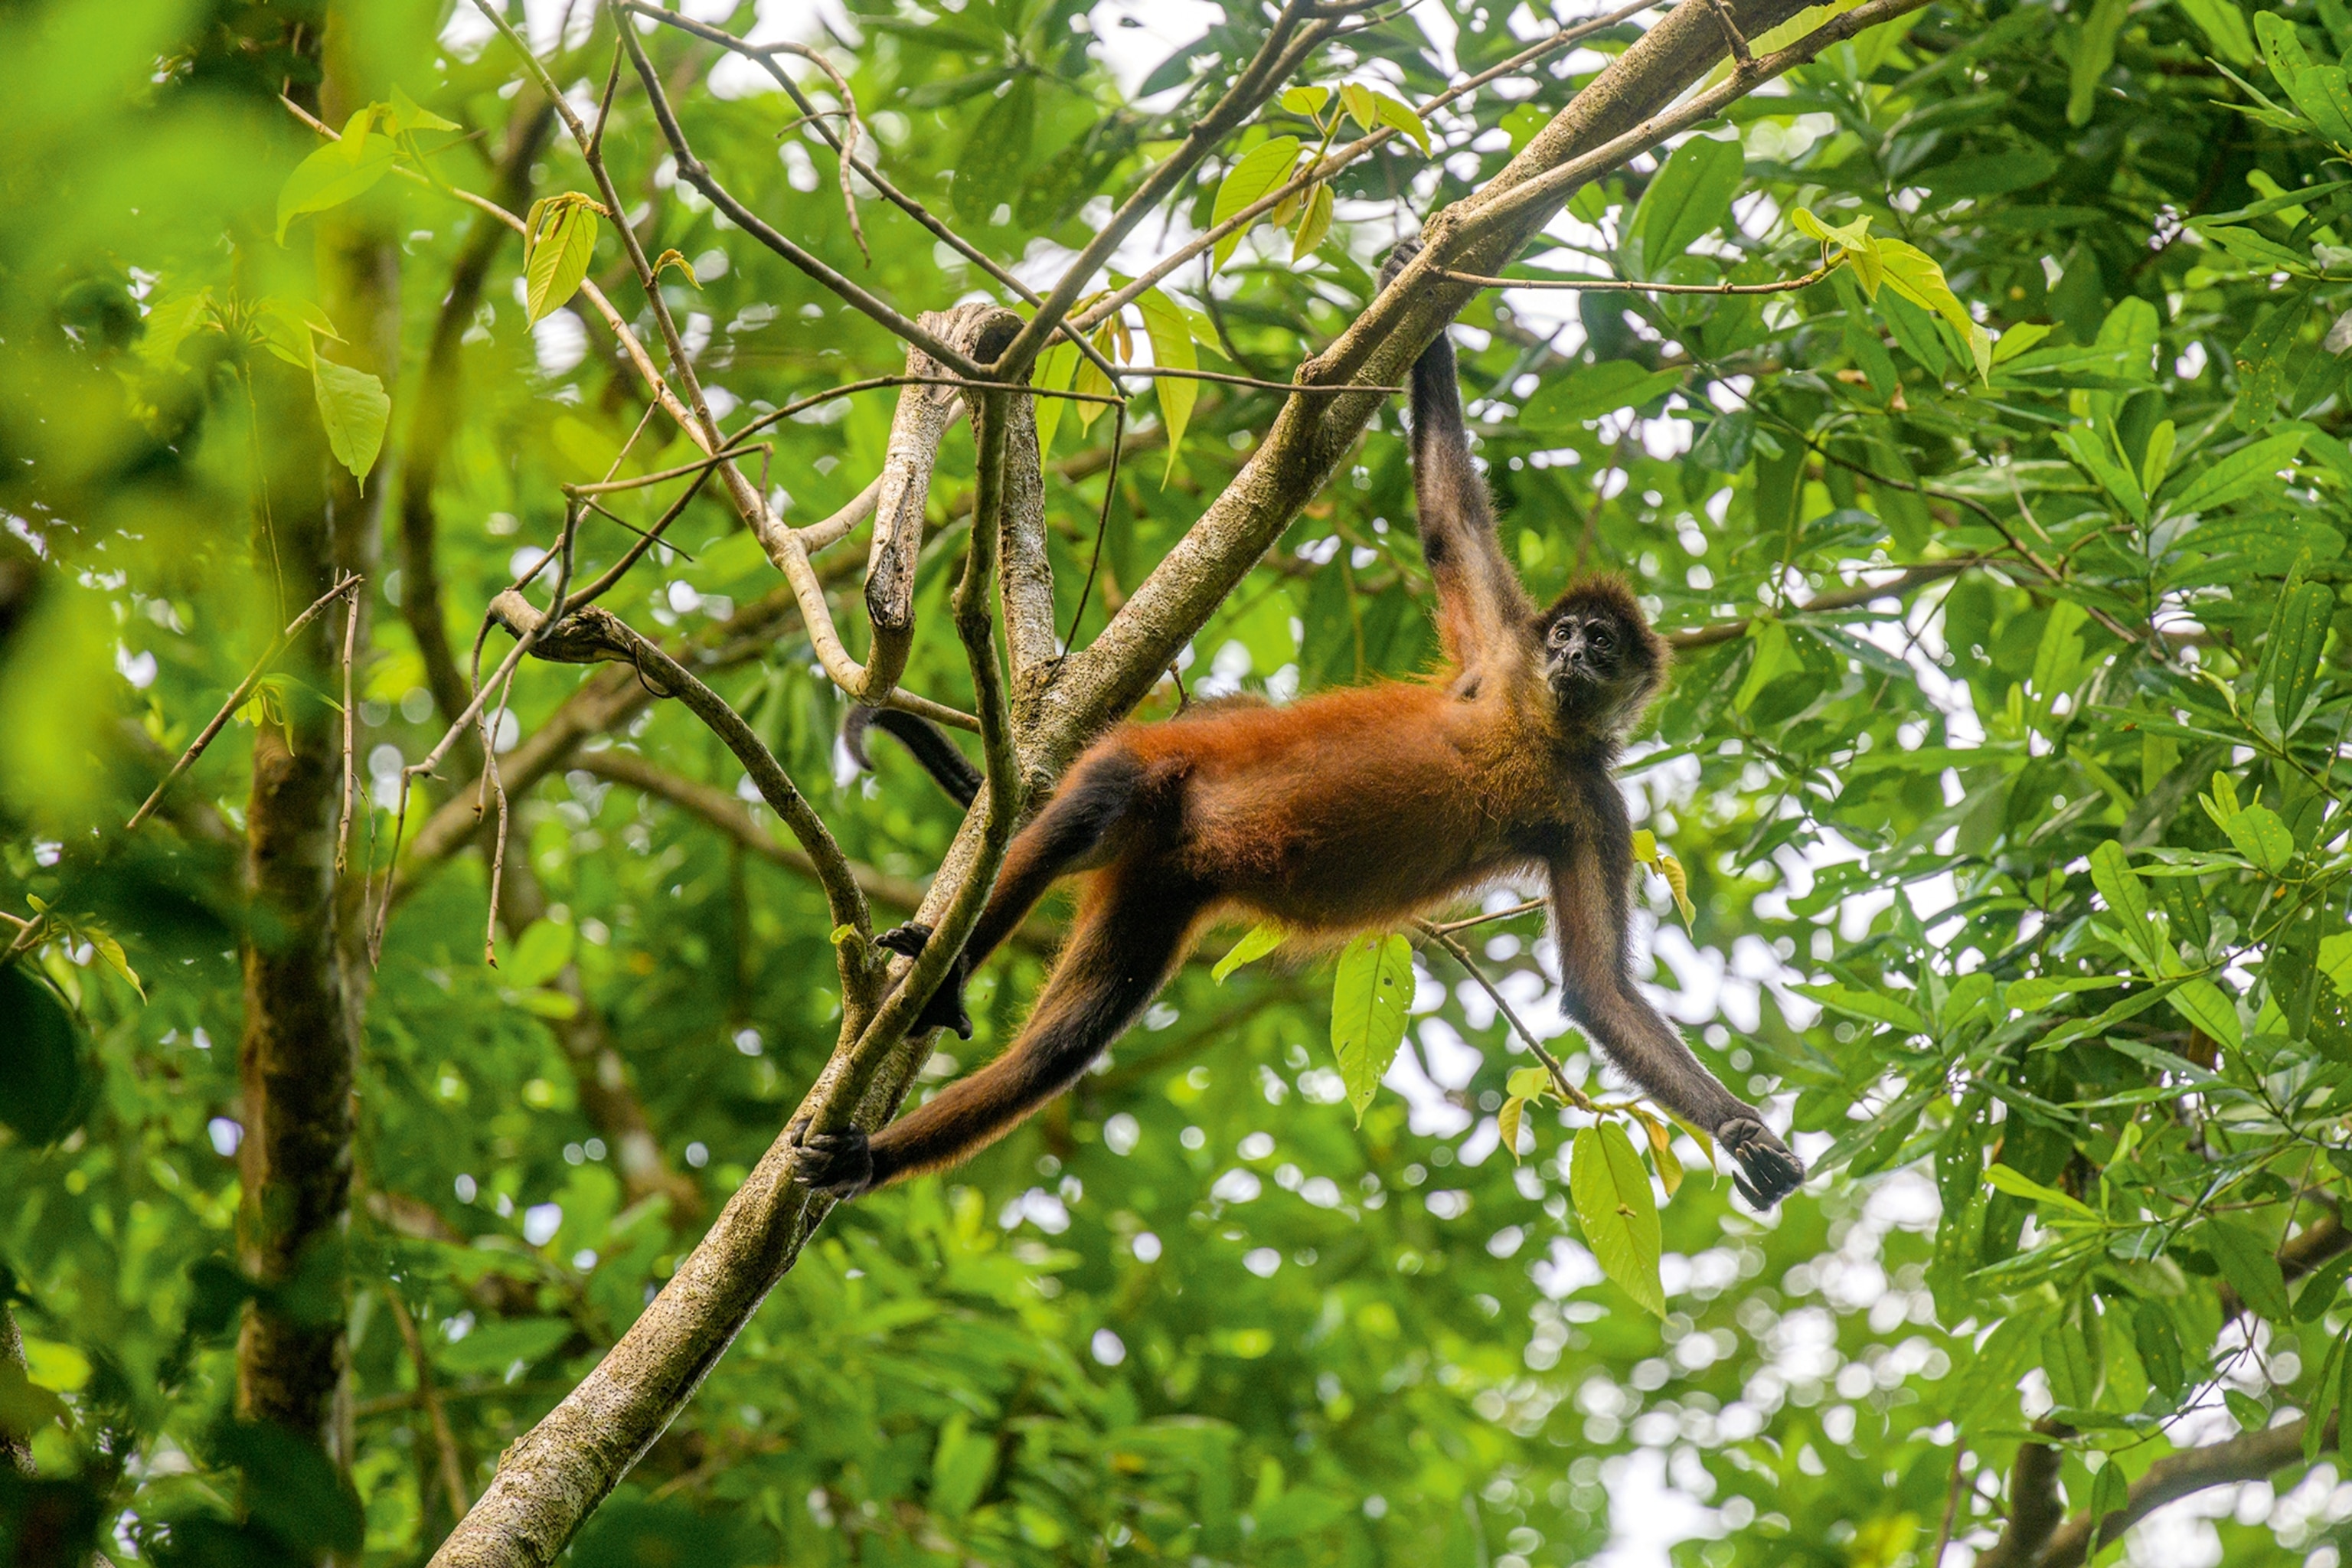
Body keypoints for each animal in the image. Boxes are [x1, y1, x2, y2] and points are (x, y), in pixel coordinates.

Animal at [792, 243, 1806, 1211]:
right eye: (1566, 634)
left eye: (1602, 646)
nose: (1572, 657)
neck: (1537, 727)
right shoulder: (1501, 655)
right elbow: (1448, 518)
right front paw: (1424, 301)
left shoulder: (1595, 804)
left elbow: (1600, 990)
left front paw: (1743, 1133)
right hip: (1155, 768)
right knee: (1094, 807)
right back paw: (946, 973)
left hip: (1159, 891)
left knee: (1065, 1045)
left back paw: (866, 1155)